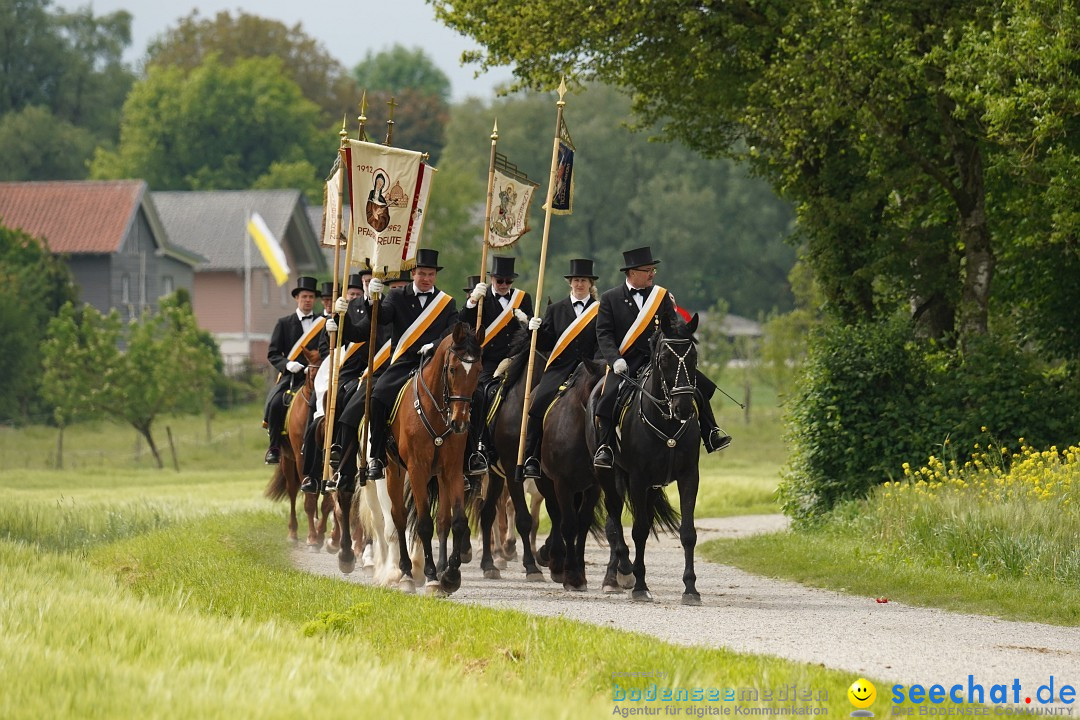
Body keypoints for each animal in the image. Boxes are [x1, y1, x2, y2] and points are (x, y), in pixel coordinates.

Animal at [262, 345, 336, 548]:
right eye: (313, 375)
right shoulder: (302, 457)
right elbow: (309, 501)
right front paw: (312, 537)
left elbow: (327, 501)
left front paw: (320, 534)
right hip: (288, 460)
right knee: (293, 491)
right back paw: (293, 533)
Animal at [384, 323, 477, 595]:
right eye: (453, 369)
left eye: (478, 370)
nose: (460, 423)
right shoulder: (417, 469)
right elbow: (424, 524)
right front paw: (433, 576)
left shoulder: (452, 470)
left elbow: (458, 521)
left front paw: (451, 575)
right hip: (394, 470)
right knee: (399, 516)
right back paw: (405, 573)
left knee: (443, 520)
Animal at [587, 310, 704, 604]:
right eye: (664, 359)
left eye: (694, 357)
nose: (683, 407)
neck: (668, 423)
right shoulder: (638, 479)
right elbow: (638, 531)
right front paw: (640, 586)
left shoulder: (689, 476)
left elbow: (688, 532)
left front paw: (690, 588)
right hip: (609, 475)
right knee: (614, 520)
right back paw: (623, 571)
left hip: (650, 486)